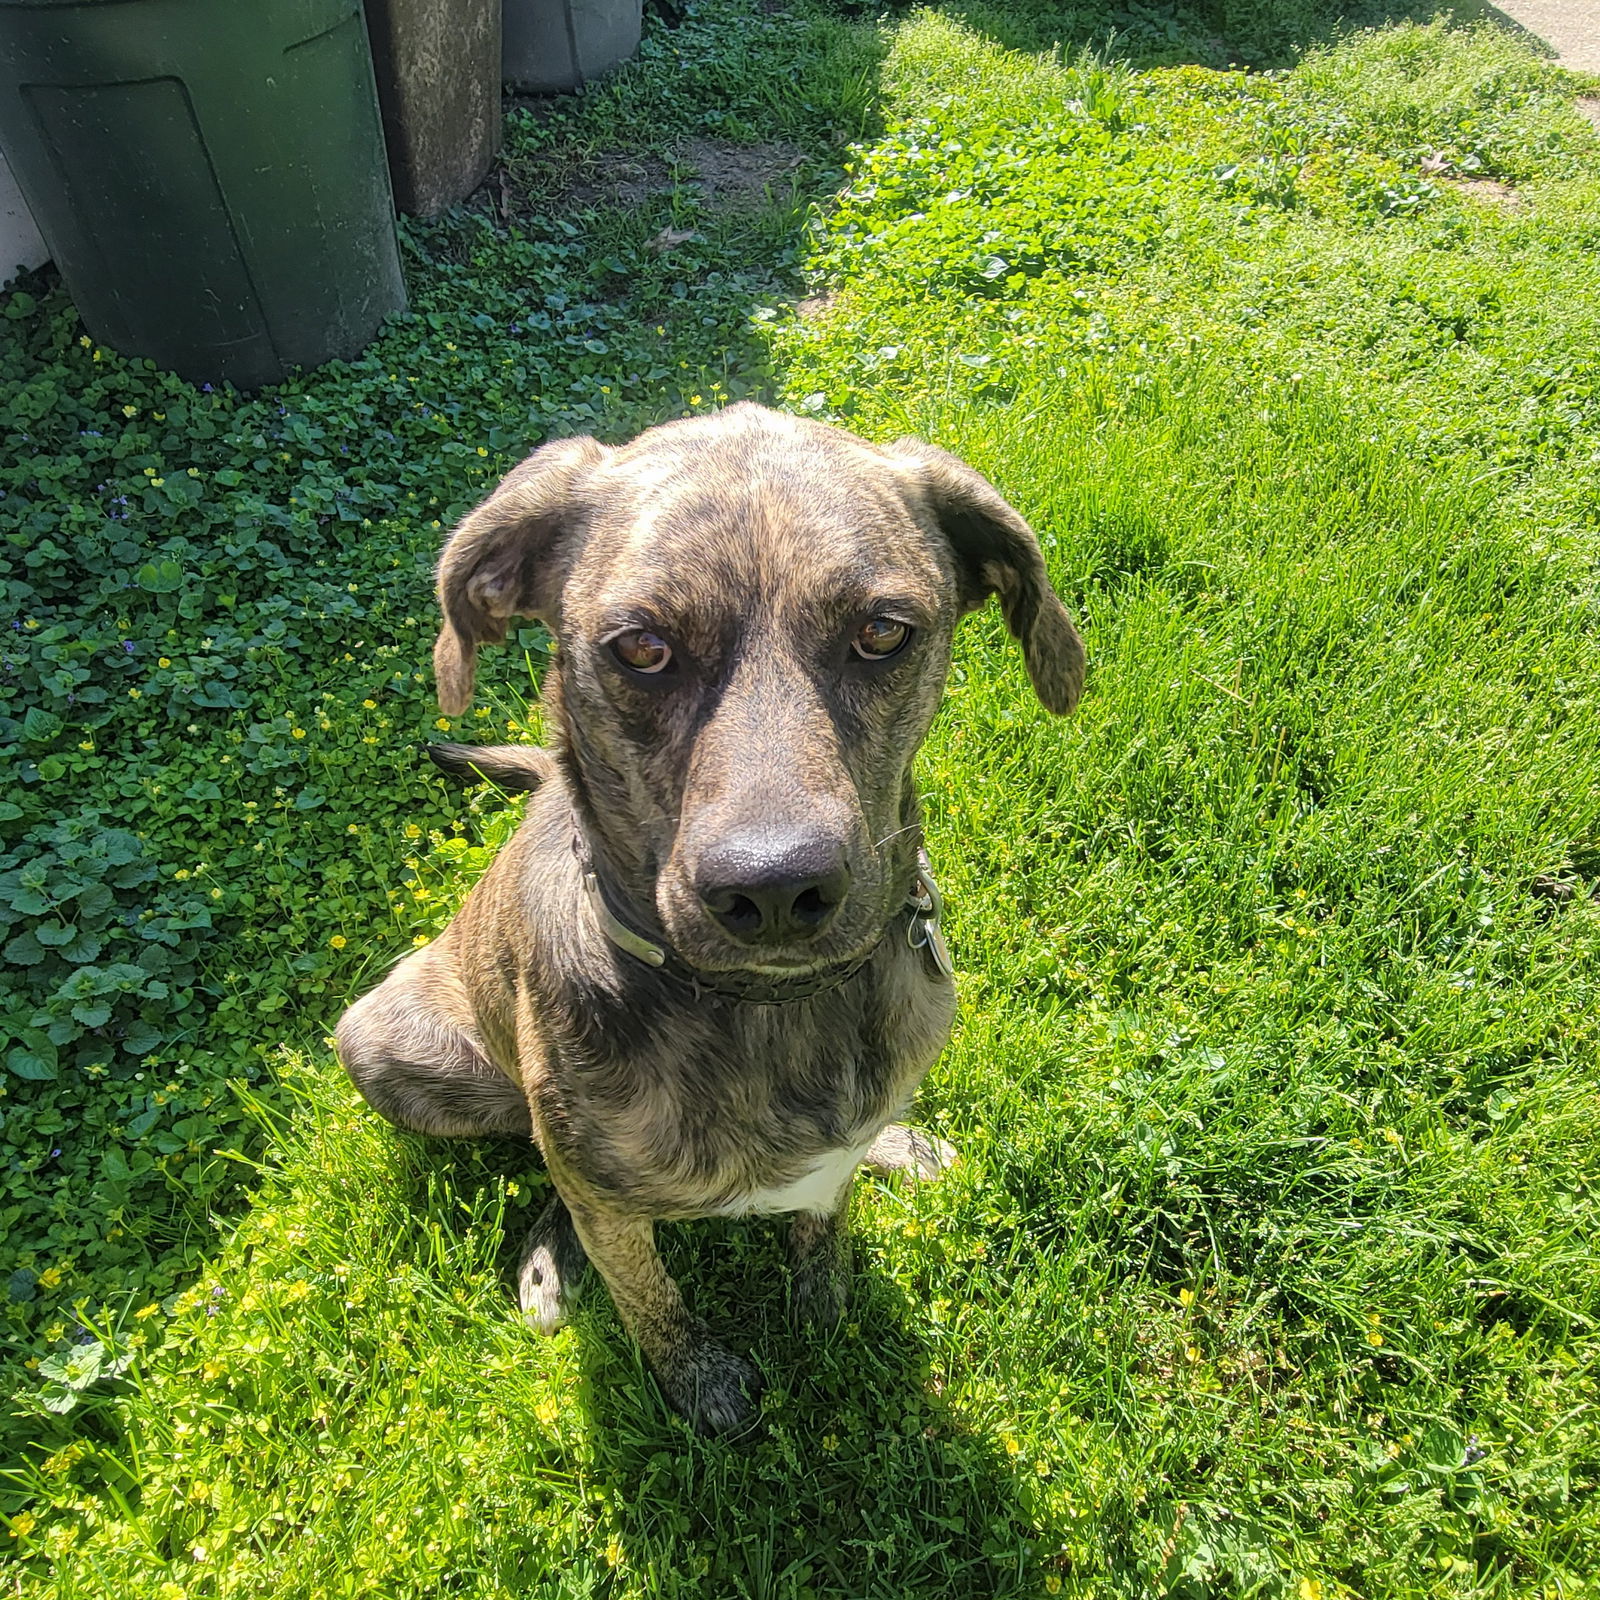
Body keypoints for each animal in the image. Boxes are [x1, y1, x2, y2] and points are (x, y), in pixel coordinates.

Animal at [337, 406, 1088, 1433]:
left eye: (883, 632)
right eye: (640, 647)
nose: (773, 890)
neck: (764, 1015)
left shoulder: (834, 1153)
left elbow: (824, 1228)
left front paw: (825, 1311)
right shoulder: (606, 1199)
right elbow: (648, 1291)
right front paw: (695, 1378)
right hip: (383, 1044)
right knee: (536, 1149)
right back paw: (551, 1258)